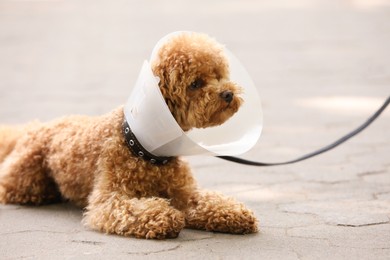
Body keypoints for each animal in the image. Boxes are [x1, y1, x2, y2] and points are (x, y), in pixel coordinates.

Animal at [0, 32, 258, 240]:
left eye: (218, 75)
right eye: (195, 84)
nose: (228, 94)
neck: (145, 148)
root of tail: (36, 126)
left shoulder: (183, 192)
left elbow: (207, 201)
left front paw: (234, 213)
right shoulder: (109, 200)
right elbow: (136, 211)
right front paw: (164, 216)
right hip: (25, 179)